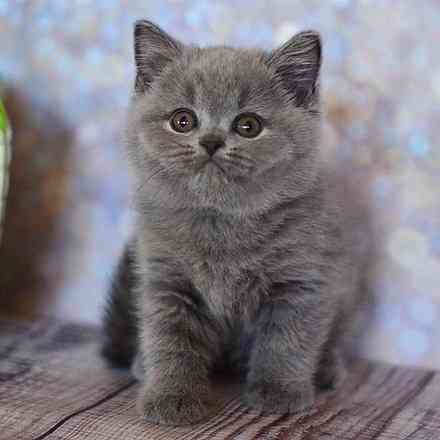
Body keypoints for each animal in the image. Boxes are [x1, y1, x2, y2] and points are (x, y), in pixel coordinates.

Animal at [102, 19, 374, 426]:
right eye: (182, 120)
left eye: (248, 125)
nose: (211, 141)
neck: (222, 223)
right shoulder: (165, 280)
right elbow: (170, 340)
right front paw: (171, 396)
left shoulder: (302, 280)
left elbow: (287, 339)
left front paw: (278, 391)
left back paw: (325, 370)